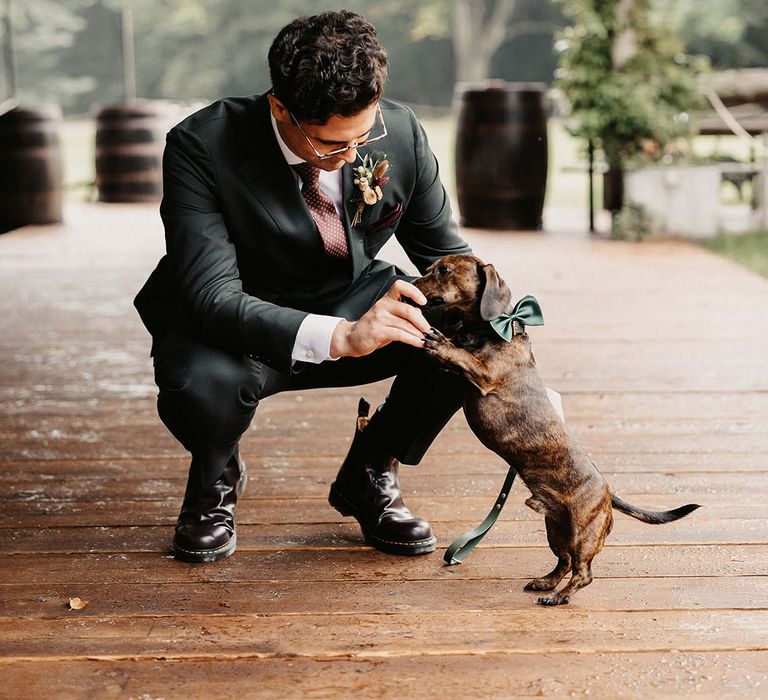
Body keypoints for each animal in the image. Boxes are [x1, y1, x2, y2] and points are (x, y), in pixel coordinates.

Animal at [414, 254, 704, 604]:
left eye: (444, 270)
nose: (409, 283)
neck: (492, 330)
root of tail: (607, 494)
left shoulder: (485, 374)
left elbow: (461, 356)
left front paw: (440, 342)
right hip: (555, 528)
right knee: (563, 562)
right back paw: (546, 583)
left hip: (582, 533)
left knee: (583, 572)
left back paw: (559, 596)